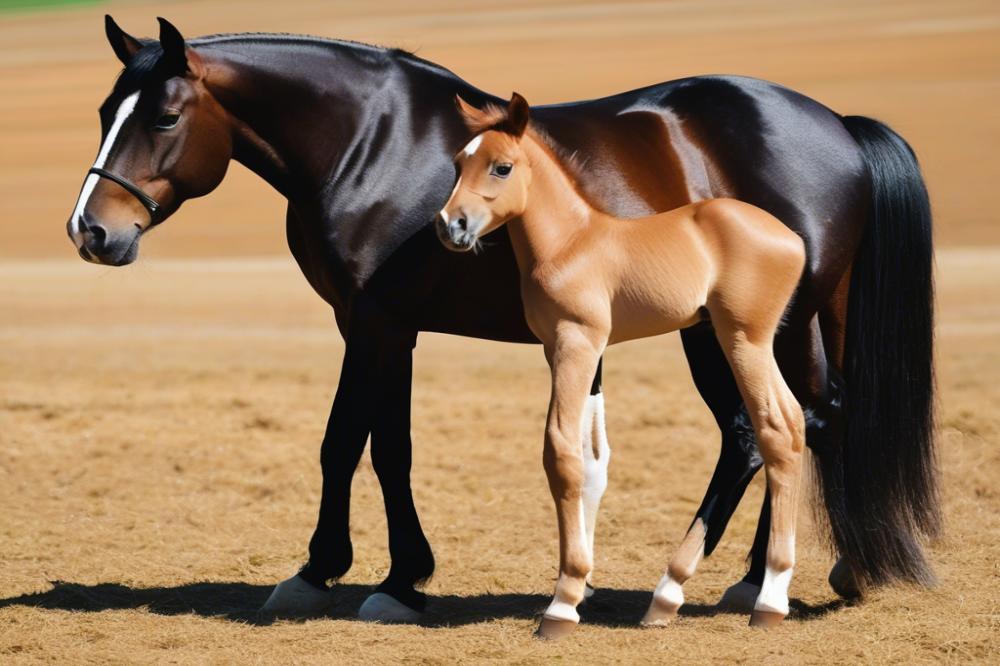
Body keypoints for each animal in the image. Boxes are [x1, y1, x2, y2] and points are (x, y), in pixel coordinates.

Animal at [442, 94, 808, 640]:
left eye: (501, 166)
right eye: (458, 163)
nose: (451, 227)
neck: (571, 242)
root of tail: (793, 239)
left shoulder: (578, 341)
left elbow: (560, 454)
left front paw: (563, 602)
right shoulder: (559, 349)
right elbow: (587, 456)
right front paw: (578, 589)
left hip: (744, 340)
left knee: (775, 431)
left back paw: (763, 601)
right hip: (753, 343)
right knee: (796, 422)